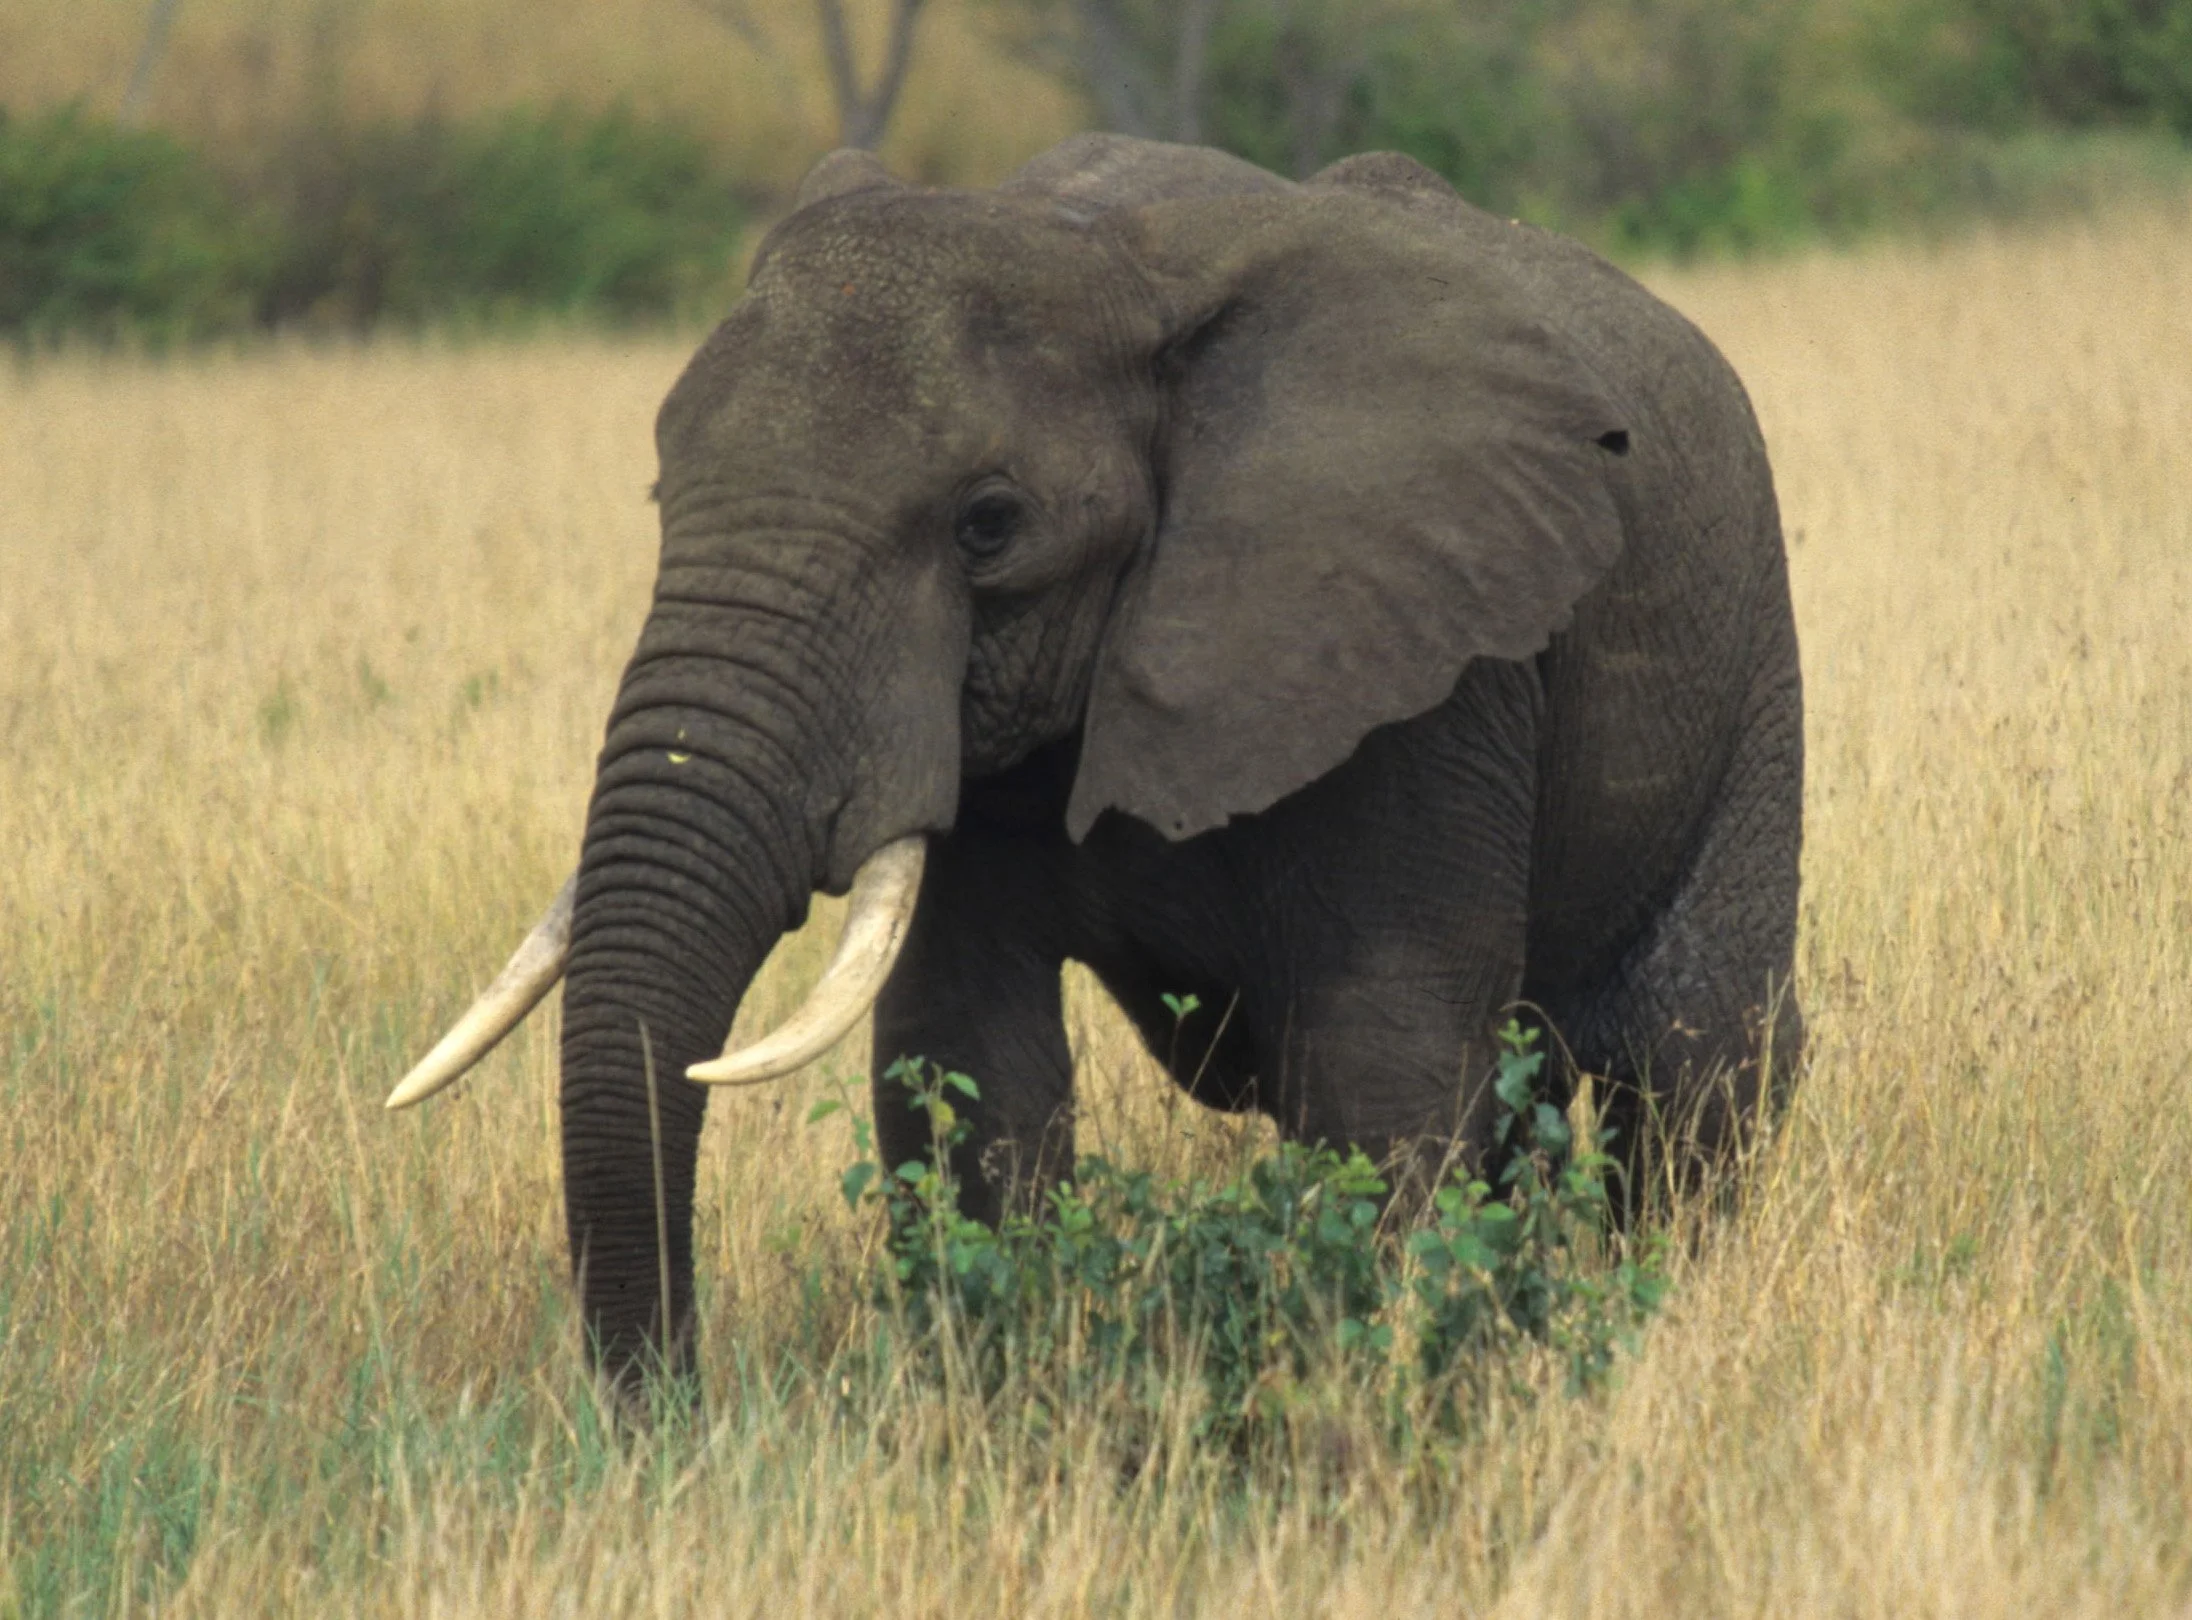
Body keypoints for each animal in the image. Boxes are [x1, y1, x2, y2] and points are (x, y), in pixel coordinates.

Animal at [387, 133, 1804, 1394]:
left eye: (987, 527)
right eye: (660, 496)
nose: (669, 1410)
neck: (1110, 252)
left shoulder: (1432, 663)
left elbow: (1381, 1061)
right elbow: (966, 1060)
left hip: (1746, 657)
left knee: (1687, 1071)